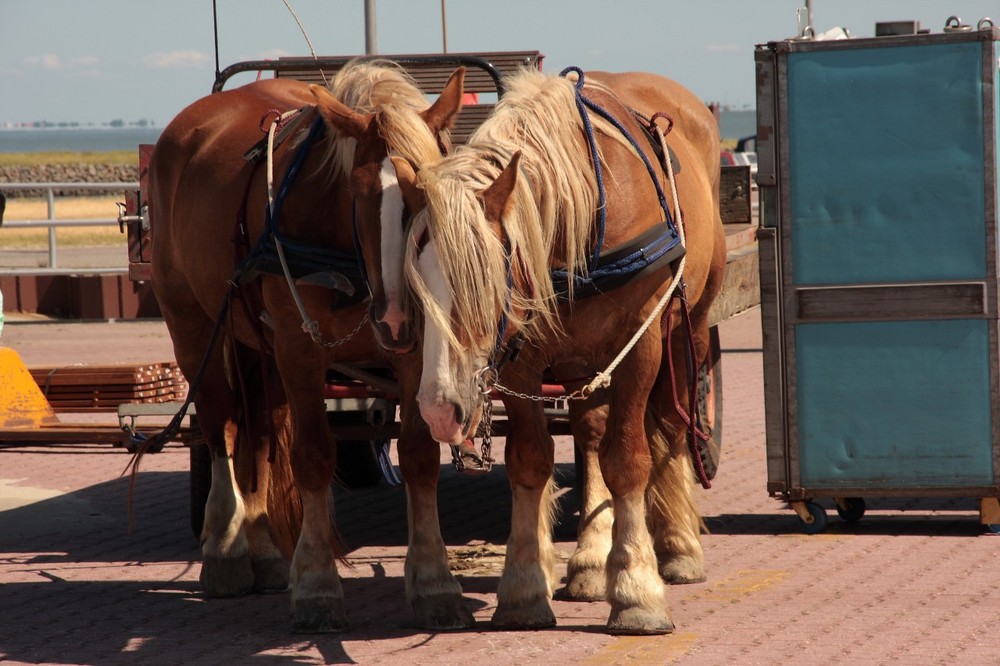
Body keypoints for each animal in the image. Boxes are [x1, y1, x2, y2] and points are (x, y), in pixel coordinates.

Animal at [147, 59, 464, 632]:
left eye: (426, 193)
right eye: (358, 192)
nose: (395, 316)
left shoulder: (411, 353)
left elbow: (420, 454)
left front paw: (434, 581)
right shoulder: (299, 348)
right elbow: (313, 455)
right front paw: (317, 586)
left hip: (259, 347)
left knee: (260, 433)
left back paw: (264, 548)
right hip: (194, 327)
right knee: (221, 424)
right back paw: (226, 550)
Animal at [400, 68, 728, 632]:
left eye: (484, 290)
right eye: (418, 295)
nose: (439, 411)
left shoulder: (641, 342)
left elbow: (628, 458)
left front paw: (637, 590)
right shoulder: (522, 358)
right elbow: (531, 460)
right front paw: (524, 590)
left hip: (690, 329)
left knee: (670, 423)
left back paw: (677, 545)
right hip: (579, 359)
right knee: (590, 433)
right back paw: (592, 561)